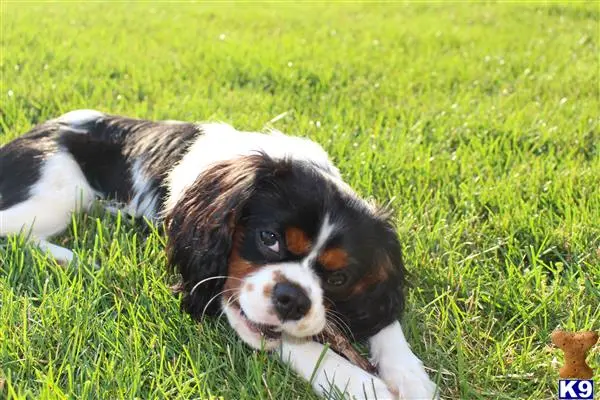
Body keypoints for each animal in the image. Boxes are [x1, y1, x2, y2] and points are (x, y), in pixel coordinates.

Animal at [2, 110, 438, 400]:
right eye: (269, 238)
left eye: (338, 278)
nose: (293, 299)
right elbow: (290, 341)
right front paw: (360, 383)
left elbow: (384, 318)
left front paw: (409, 374)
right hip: (61, 189)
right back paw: (72, 259)